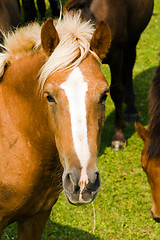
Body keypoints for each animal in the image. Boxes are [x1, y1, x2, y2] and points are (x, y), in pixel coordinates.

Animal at [65, 0, 154, 150]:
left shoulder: (117, 55)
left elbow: (116, 92)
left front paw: (118, 137)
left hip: (133, 40)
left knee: (128, 68)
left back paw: (131, 110)